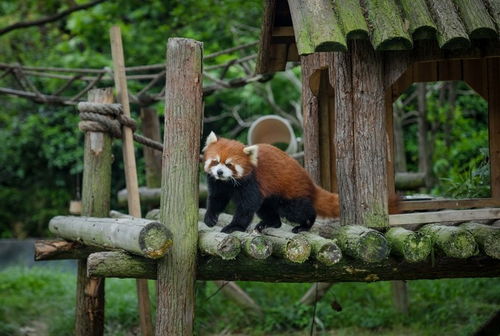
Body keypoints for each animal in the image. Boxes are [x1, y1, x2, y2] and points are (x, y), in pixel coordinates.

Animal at [203, 132, 340, 234]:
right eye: (215, 162)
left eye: (229, 164)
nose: (220, 172)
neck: (228, 182)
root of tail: (310, 182)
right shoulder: (218, 183)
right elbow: (217, 199)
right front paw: (210, 217)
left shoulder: (252, 183)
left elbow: (247, 206)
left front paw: (234, 226)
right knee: (266, 209)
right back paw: (270, 223)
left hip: (291, 194)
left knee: (298, 210)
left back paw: (305, 225)